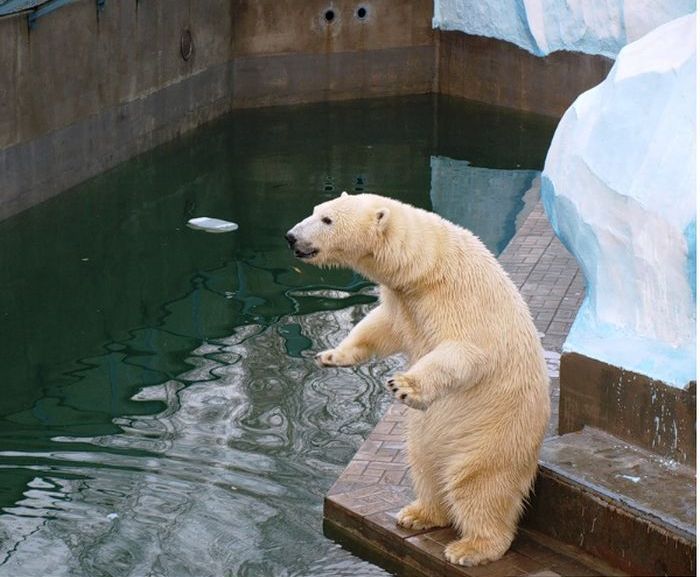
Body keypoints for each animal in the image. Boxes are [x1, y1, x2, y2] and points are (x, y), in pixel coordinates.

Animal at [288, 191, 548, 564]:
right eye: (315, 211)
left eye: (327, 220)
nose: (291, 237)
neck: (427, 266)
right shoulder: (403, 300)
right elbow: (381, 327)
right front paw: (331, 355)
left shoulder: (461, 298)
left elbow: (464, 351)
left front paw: (403, 385)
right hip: (429, 437)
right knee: (425, 466)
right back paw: (418, 514)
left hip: (495, 433)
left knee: (478, 485)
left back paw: (471, 547)